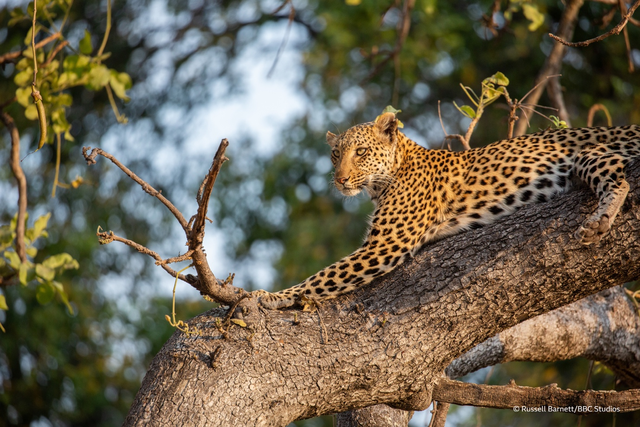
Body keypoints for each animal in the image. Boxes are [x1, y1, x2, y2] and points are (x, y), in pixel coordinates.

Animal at [255, 112, 640, 310]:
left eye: (361, 152)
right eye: (336, 154)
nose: (340, 179)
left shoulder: (383, 246)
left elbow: (320, 278)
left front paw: (269, 297)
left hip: (588, 154)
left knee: (618, 177)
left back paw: (599, 221)